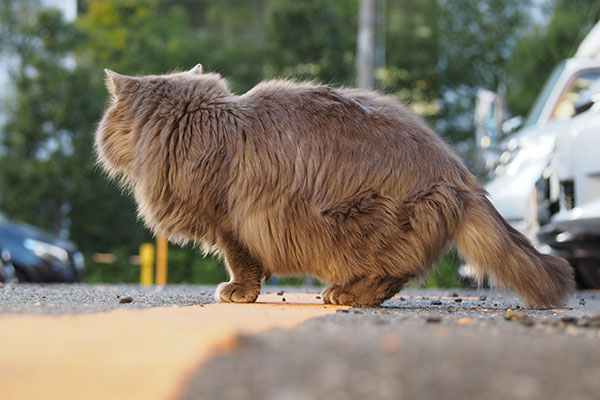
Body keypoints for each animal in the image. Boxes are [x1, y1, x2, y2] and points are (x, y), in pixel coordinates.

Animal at [96, 65, 576, 306]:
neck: (193, 122)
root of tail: (458, 175)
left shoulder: (233, 221)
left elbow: (241, 264)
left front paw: (238, 293)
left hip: (361, 219)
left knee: (397, 271)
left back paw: (348, 296)